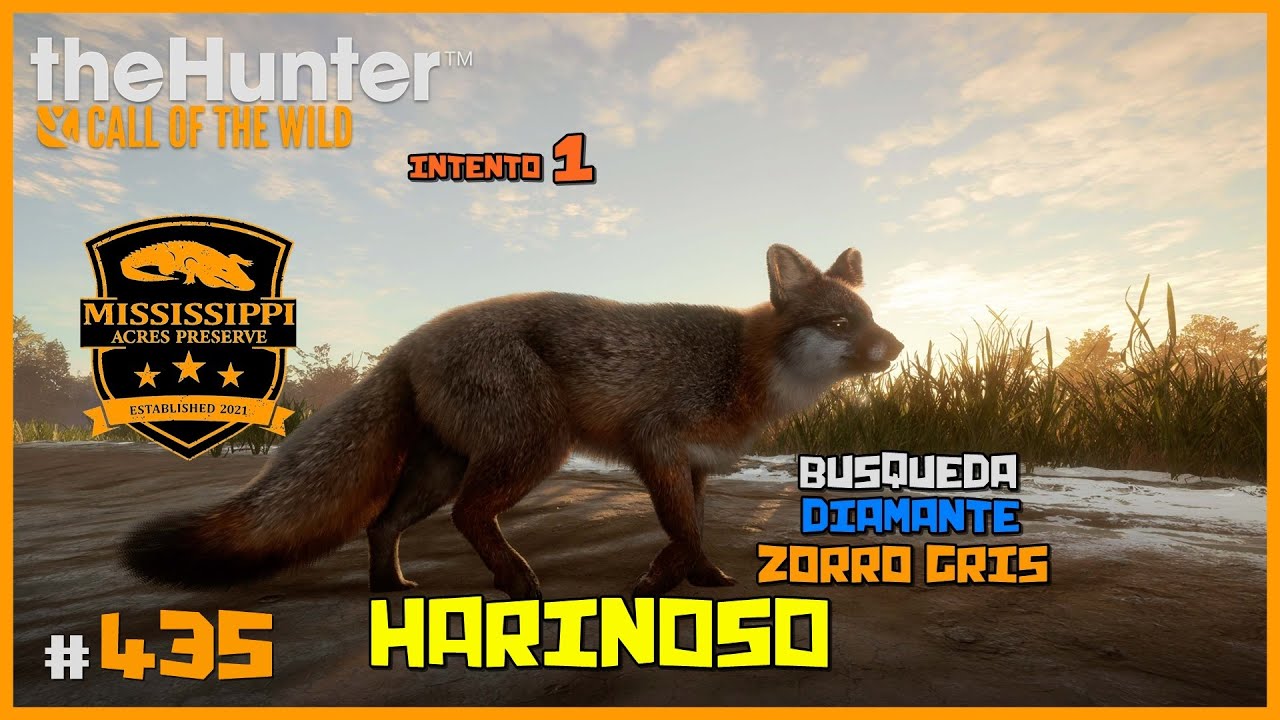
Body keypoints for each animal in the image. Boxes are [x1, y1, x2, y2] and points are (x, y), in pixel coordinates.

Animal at [121, 244, 904, 598]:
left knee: (383, 522)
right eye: (841, 323)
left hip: (443, 469)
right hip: (533, 448)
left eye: (870, 318)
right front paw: (670, 579)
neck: (745, 364)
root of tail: (411, 338)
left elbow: (690, 531)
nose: (896, 347)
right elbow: (681, 528)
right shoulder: (655, 441)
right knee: (469, 515)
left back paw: (391, 587)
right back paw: (517, 580)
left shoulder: (695, 465)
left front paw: (685, 575)